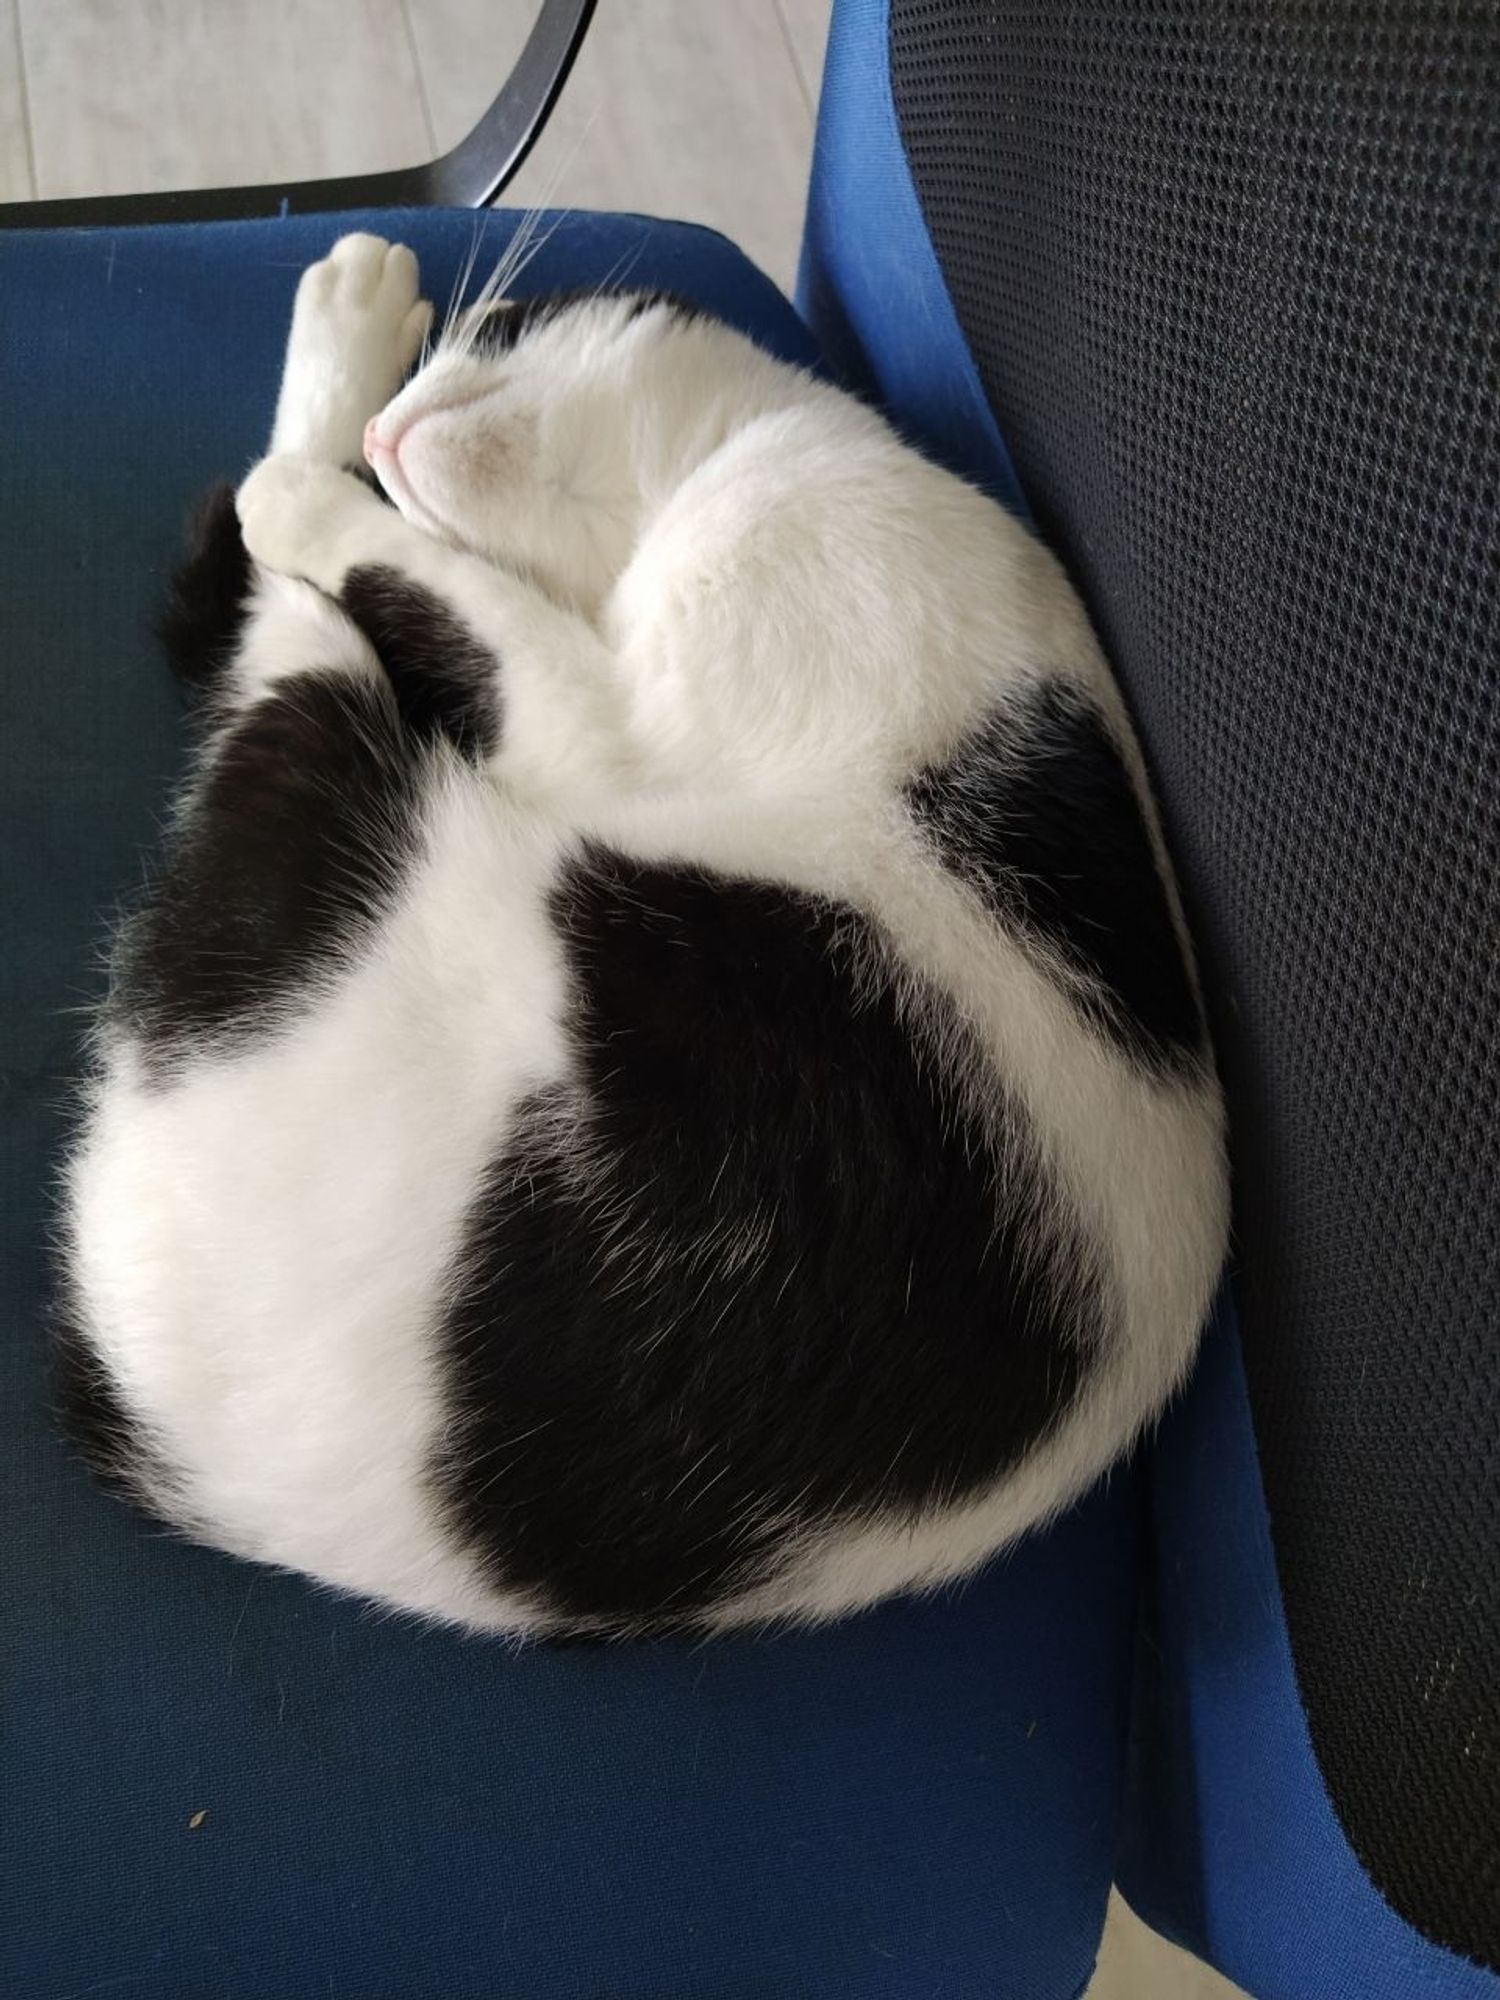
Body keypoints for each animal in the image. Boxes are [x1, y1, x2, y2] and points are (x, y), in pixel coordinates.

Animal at [58, 234, 1232, 1640]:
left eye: (495, 332)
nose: (391, 429)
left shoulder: (618, 716)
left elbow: (393, 570)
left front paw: (312, 476)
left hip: (325, 754)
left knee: (273, 632)